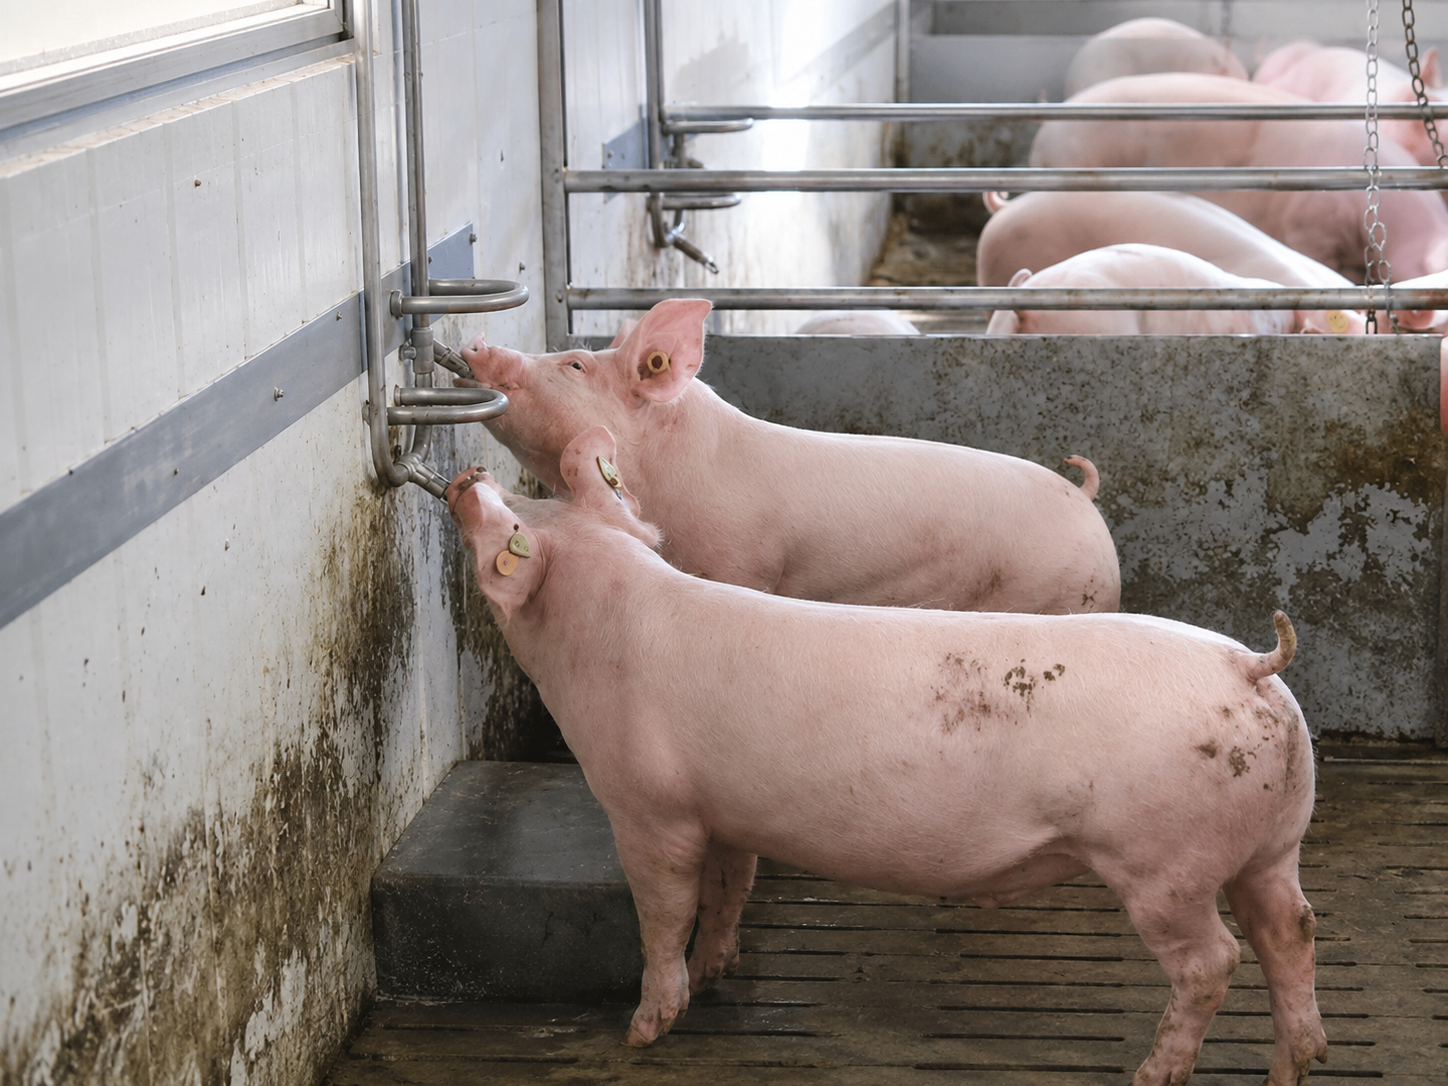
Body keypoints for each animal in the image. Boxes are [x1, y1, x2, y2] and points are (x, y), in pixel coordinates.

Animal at [445, 426, 1325, 1086]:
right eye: (539, 499)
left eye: (517, 517)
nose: (466, 475)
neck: (606, 637)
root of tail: (1250, 666)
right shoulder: (723, 808)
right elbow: (730, 889)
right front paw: (722, 968)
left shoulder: (650, 808)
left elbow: (663, 913)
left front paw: (642, 1030)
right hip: (1273, 840)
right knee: (1292, 929)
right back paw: (1293, 1066)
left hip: (1163, 861)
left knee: (1213, 961)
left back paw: (1153, 1075)